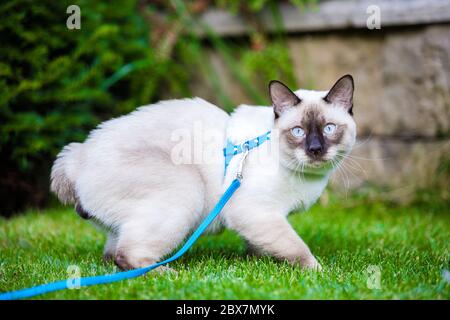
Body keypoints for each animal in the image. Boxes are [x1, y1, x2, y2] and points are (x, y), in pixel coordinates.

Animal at [51, 74, 356, 270]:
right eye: (298, 131)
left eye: (329, 128)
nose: (315, 149)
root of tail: (78, 156)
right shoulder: (257, 212)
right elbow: (298, 249)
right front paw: (321, 274)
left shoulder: (260, 221)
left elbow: (260, 245)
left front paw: (259, 263)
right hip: (187, 189)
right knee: (126, 256)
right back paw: (167, 275)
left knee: (111, 254)